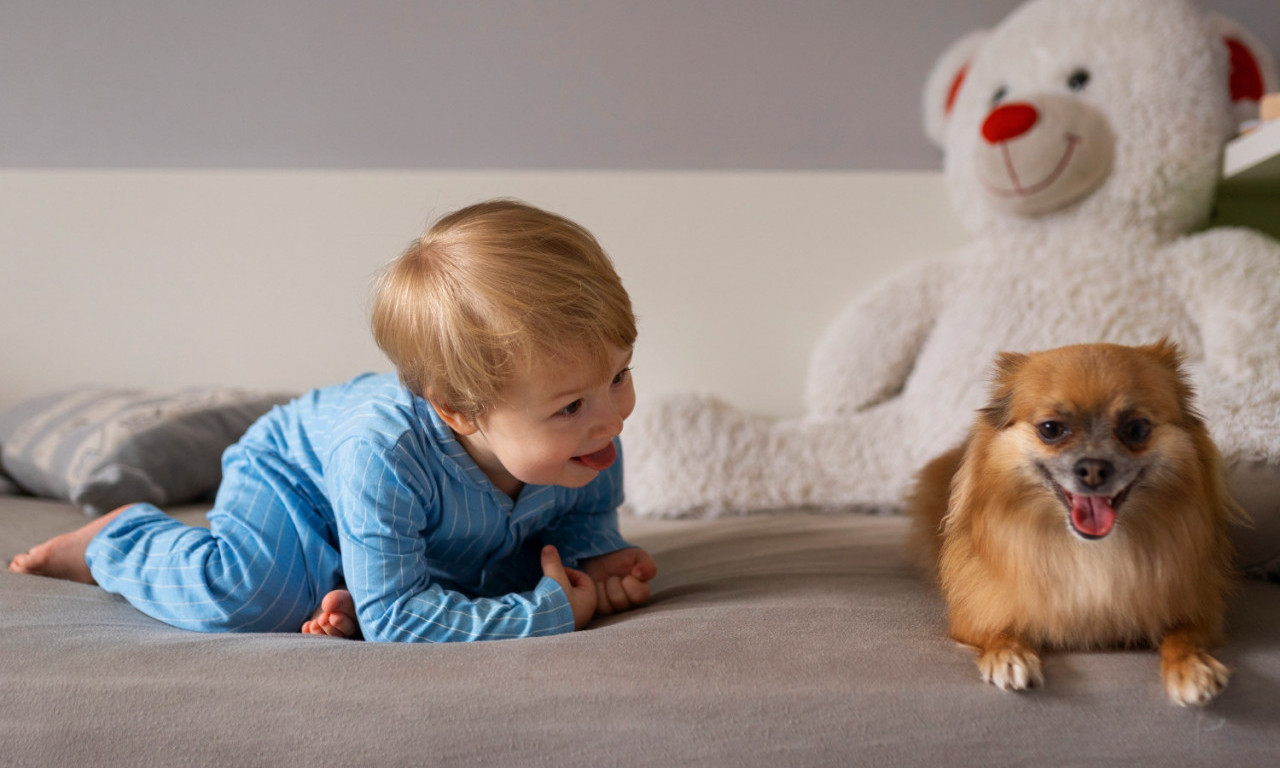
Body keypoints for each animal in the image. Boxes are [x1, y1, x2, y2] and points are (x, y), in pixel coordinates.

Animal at [906, 343, 1244, 706]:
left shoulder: (1200, 613)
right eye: (1051, 429)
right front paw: (1008, 656)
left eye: (1137, 429)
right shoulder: (975, 614)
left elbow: (1182, 635)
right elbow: (999, 630)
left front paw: (1193, 666)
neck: (1088, 550)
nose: (1094, 468)